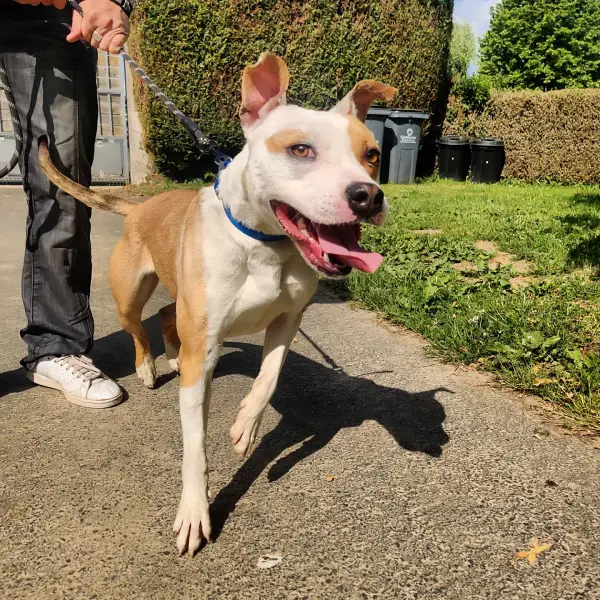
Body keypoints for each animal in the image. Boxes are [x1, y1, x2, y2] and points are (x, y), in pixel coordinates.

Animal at [39, 52, 396, 556]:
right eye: (300, 150)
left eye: (372, 155)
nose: (368, 196)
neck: (264, 244)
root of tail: (138, 205)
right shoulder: (202, 357)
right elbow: (195, 447)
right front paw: (194, 512)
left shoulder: (287, 321)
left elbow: (268, 379)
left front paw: (246, 426)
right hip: (129, 296)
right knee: (138, 328)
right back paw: (148, 367)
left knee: (167, 316)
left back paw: (171, 356)